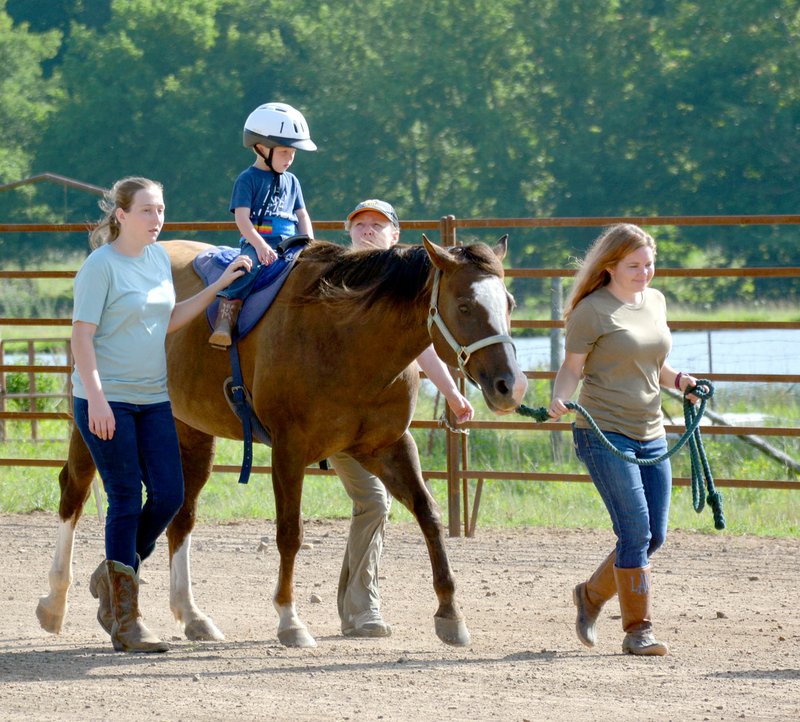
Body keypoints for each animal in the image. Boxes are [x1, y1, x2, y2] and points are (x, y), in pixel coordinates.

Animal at [37, 236, 528, 648]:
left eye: (508, 302)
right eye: (464, 304)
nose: (511, 386)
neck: (346, 336)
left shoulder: (387, 447)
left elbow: (429, 516)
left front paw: (450, 614)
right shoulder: (290, 451)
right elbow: (290, 534)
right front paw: (290, 621)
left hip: (190, 434)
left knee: (180, 516)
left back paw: (189, 615)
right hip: (95, 426)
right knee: (73, 494)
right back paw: (55, 602)